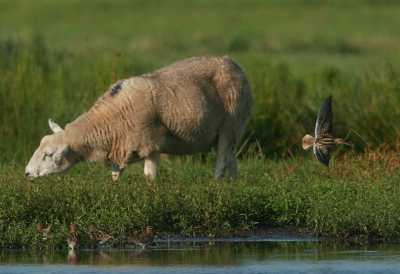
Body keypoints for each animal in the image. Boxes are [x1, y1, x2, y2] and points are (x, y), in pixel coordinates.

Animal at [24, 55, 253, 180]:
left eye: (48, 155)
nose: (26, 173)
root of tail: (232, 63)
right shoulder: (120, 145)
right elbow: (115, 175)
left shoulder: (151, 142)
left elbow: (149, 176)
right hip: (220, 134)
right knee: (231, 160)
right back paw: (231, 187)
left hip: (231, 124)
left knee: (221, 161)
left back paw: (216, 184)